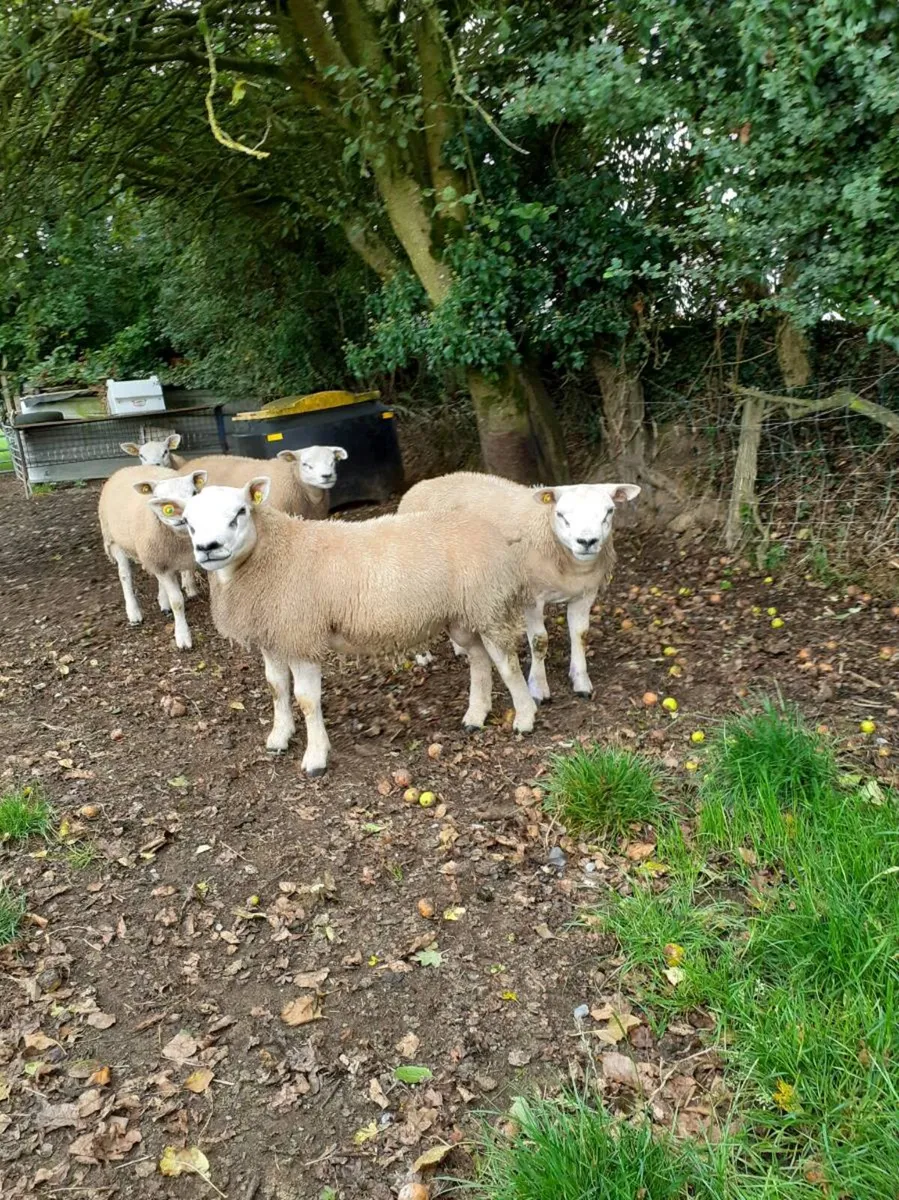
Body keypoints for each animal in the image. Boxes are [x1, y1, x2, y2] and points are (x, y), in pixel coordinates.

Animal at [98, 465, 205, 650]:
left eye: (194, 493)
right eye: (160, 499)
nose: (180, 516)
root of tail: (127, 468)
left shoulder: (170, 559)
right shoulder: (159, 562)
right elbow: (177, 601)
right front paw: (182, 637)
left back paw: (163, 603)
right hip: (115, 541)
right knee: (124, 576)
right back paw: (134, 613)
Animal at [151, 476, 537, 775]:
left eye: (240, 512)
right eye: (187, 520)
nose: (207, 548)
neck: (272, 554)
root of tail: (492, 532)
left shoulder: (301, 635)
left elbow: (306, 700)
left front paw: (315, 757)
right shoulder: (273, 635)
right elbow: (276, 687)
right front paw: (279, 737)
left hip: (489, 603)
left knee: (506, 661)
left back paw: (525, 717)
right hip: (461, 614)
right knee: (478, 657)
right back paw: (476, 714)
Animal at [399, 473, 640, 701]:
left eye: (609, 511)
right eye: (561, 514)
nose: (587, 542)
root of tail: (422, 484)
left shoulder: (585, 593)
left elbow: (580, 635)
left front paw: (581, 681)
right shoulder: (531, 597)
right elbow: (539, 641)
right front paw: (538, 687)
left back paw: (460, 648)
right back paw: (422, 655)